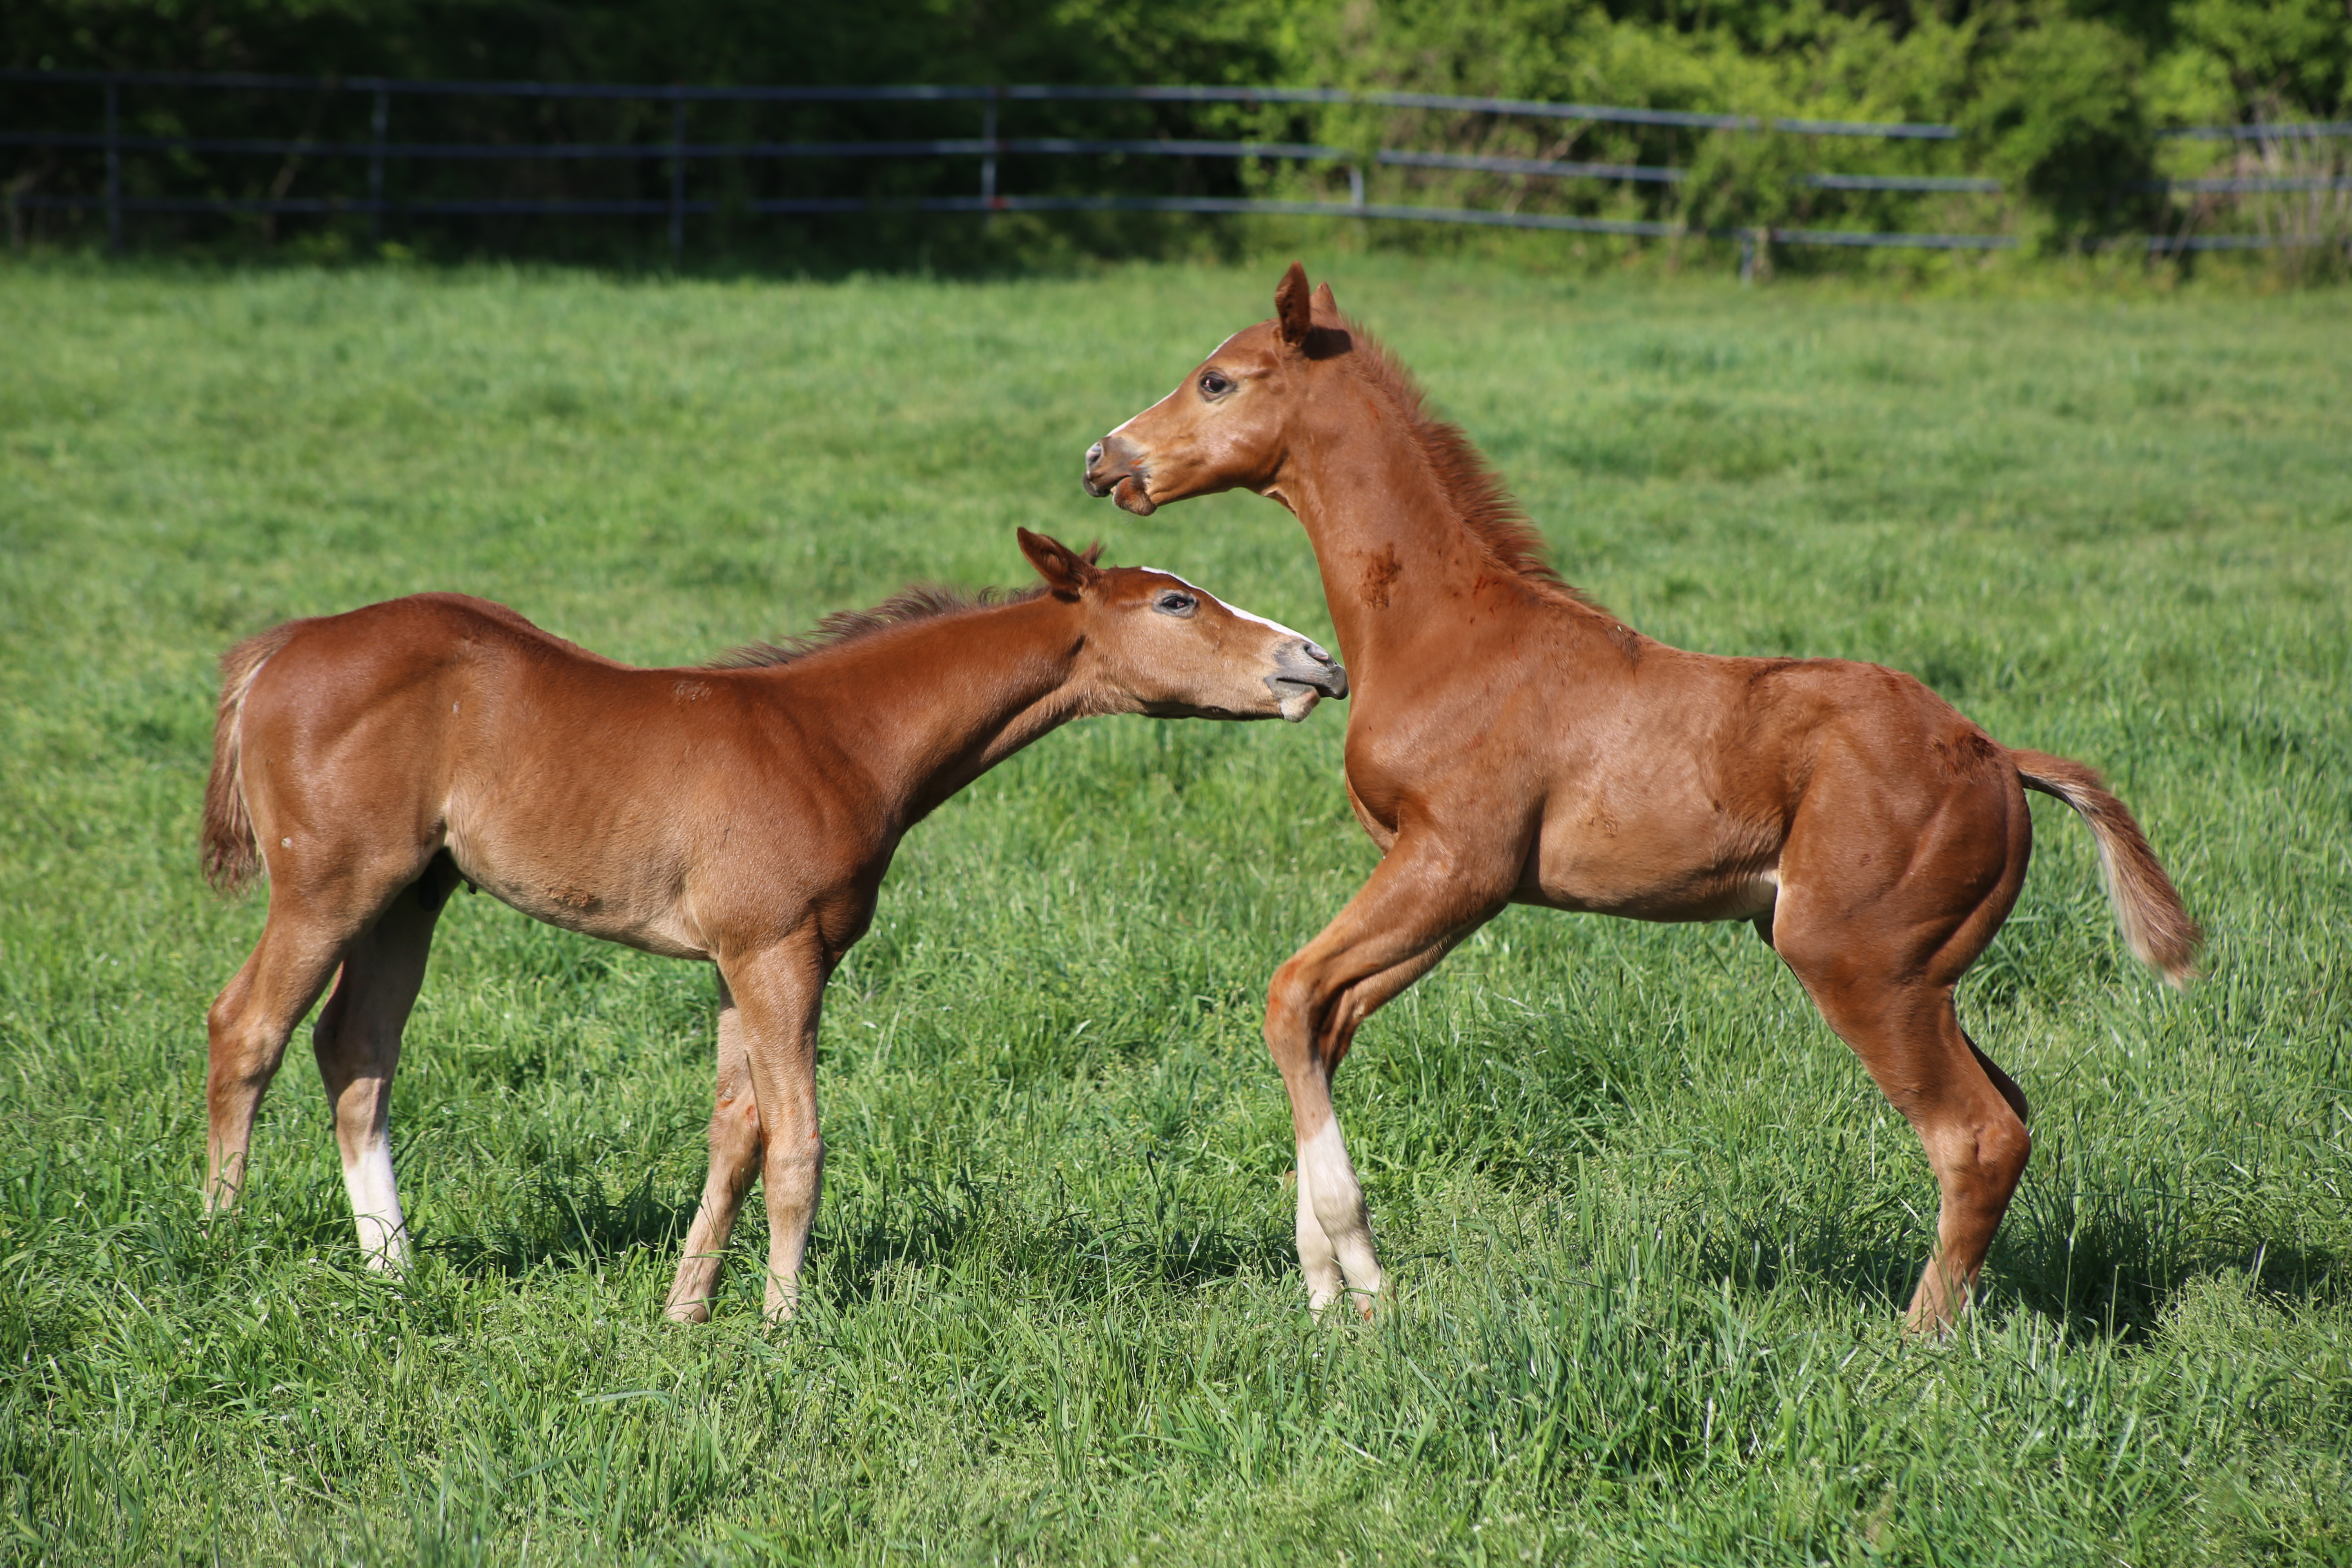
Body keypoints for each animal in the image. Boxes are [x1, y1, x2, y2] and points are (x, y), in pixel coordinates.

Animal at [202, 533, 1345, 1316]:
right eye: (1176, 600)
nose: (1316, 661)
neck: (834, 738)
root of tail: (281, 648)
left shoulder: (736, 962)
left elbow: (734, 1133)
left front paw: (685, 1309)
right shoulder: (779, 951)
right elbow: (798, 1142)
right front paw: (783, 1319)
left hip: (412, 895)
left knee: (356, 1050)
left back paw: (392, 1268)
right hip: (330, 887)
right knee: (246, 1027)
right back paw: (222, 1241)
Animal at [1082, 263, 2201, 1335]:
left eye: (1217, 380)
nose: (1103, 458)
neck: (1446, 629)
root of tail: (1993, 755)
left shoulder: (1453, 862)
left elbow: (1288, 996)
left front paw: (1349, 1274)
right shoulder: (1454, 888)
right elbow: (1325, 1021)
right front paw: (1335, 1282)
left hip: (1858, 964)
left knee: (1974, 1134)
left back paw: (1912, 1346)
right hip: (1925, 974)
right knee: (2010, 1112)